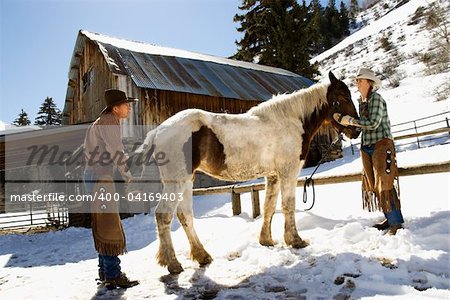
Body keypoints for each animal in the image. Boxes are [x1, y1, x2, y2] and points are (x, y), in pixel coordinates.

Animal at [134, 71, 358, 274]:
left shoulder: (273, 175)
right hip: (177, 181)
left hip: (186, 181)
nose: (356, 130)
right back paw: (172, 263)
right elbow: (288, 205)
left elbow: (268, 207)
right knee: (164, 215)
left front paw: (266, 240)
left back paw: (202, 255)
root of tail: (158, 131)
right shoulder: (288, 172)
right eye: (344, 97)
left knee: (185, 215)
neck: (292, 121)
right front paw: (295, 240)